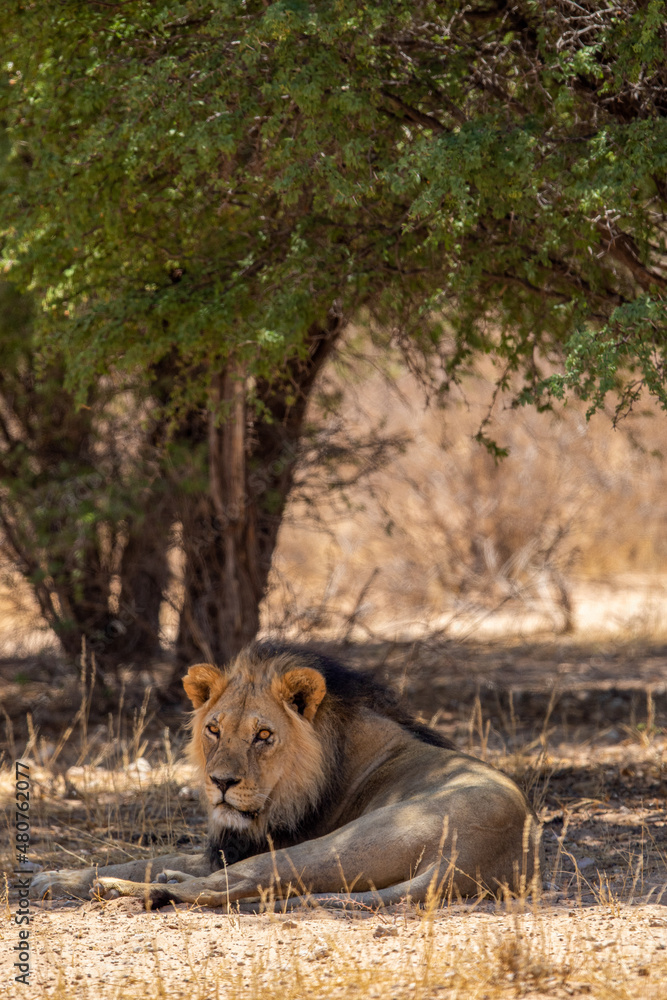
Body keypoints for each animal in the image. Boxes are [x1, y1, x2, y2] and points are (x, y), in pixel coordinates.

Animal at [31, 642, 542, 909]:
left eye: (263, 735)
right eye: (214, 729)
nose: (221, 783)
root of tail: (467, 859)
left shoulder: (259, 843)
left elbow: (143, 860)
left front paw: (68, 878)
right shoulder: (223, 846)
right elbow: (139, 857)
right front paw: (52, 875)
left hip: (337, 844)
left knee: (238, 883)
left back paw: (126, 890)